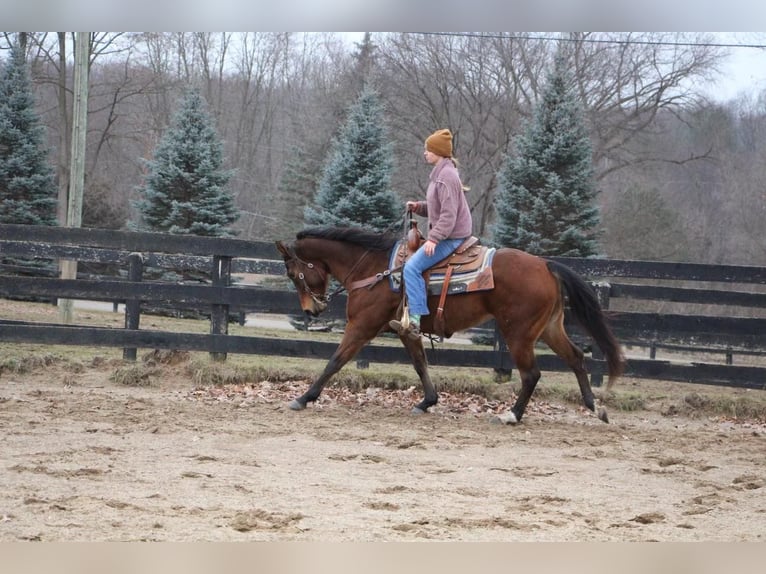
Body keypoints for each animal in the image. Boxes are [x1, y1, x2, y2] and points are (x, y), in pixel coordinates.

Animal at [274, 227, 624, 426]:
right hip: (549, 328)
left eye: (292, 273)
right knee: (576, 358)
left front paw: (304, 398)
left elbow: (335, 361)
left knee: (531, 374)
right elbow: (420, 364)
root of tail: (546, 265)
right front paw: (427, 401)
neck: (375, 270)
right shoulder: (406, 329)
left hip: (519, 334)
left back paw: (512, 415)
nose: (311, 310)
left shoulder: (361, 326)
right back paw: (596, 408)